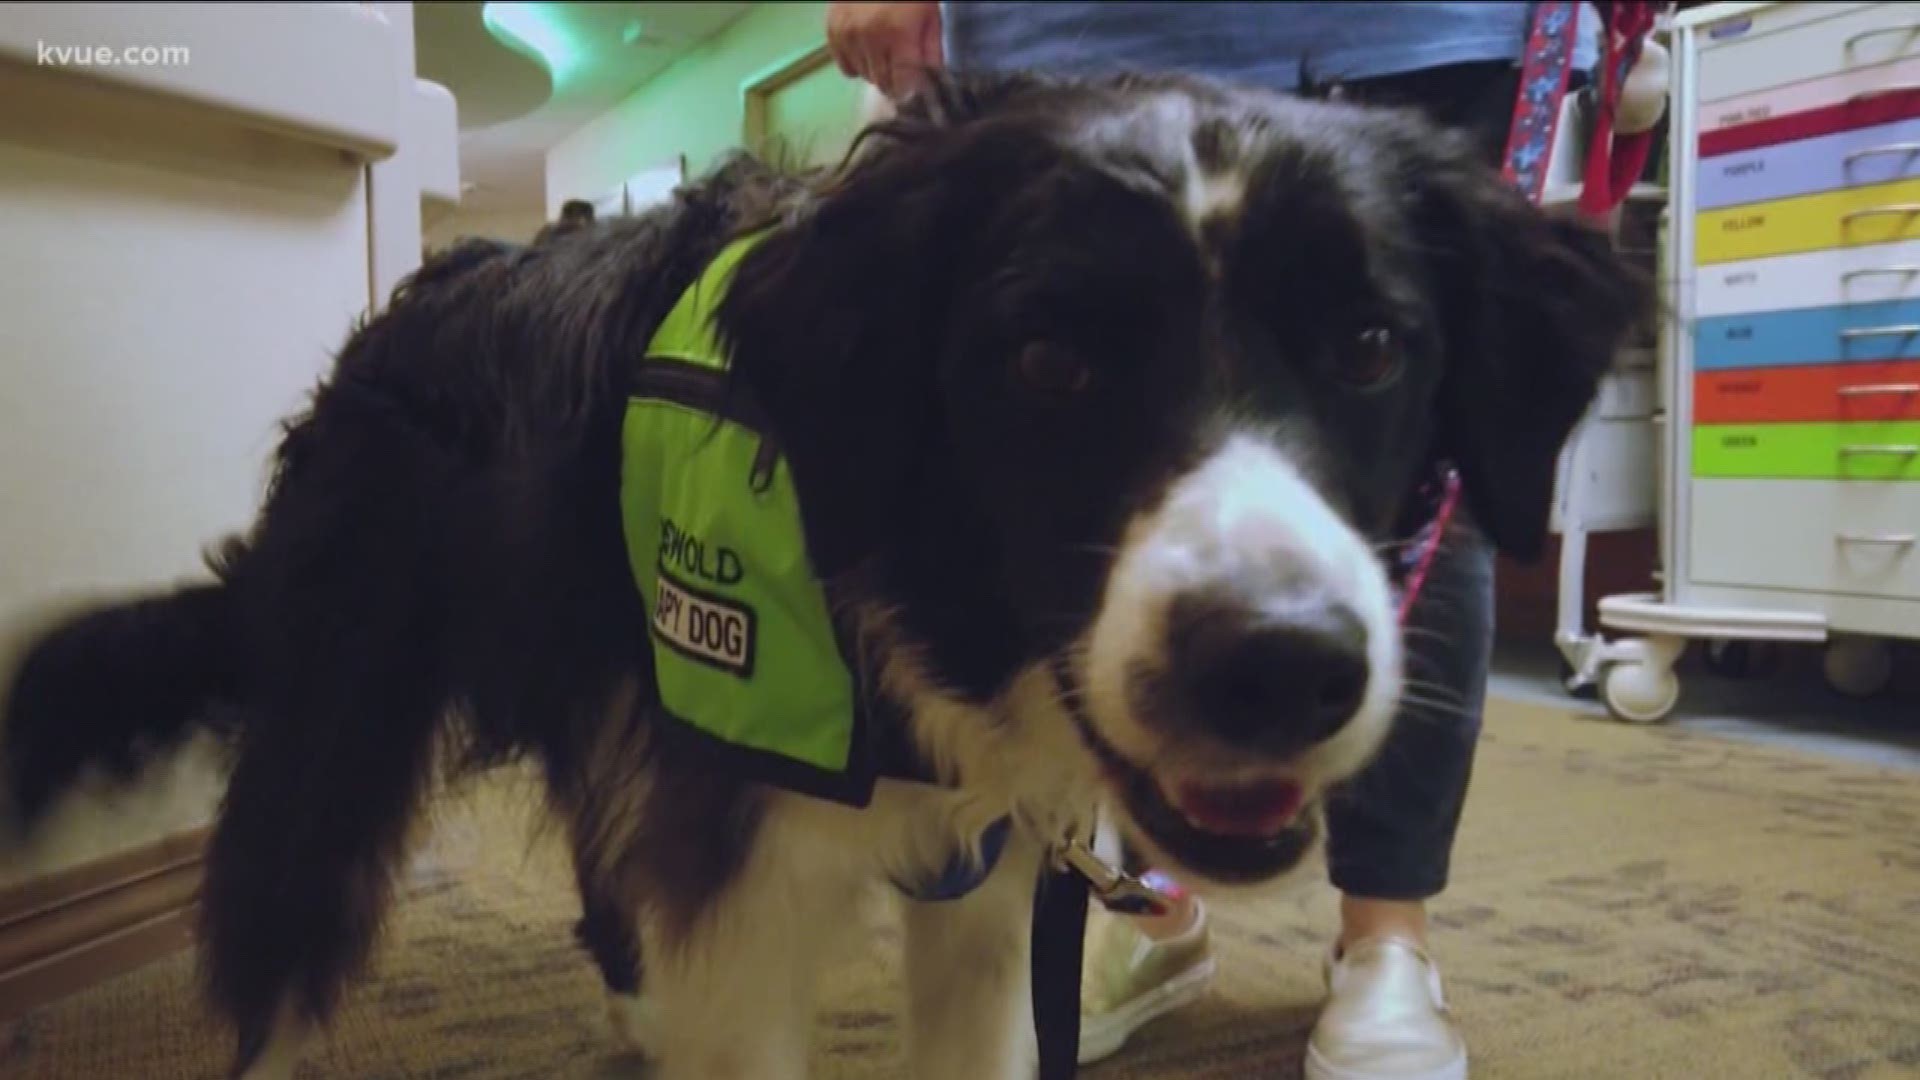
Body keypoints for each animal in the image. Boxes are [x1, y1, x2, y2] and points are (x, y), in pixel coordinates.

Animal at [3, 73, 1651, 1076]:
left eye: (1371, 347)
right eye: (1047, 364)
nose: (1279, 664)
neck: (908, 599)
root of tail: (415, 302)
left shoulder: (979, 876)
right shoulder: (746, 863)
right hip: (346, 711)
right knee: (281, 932)